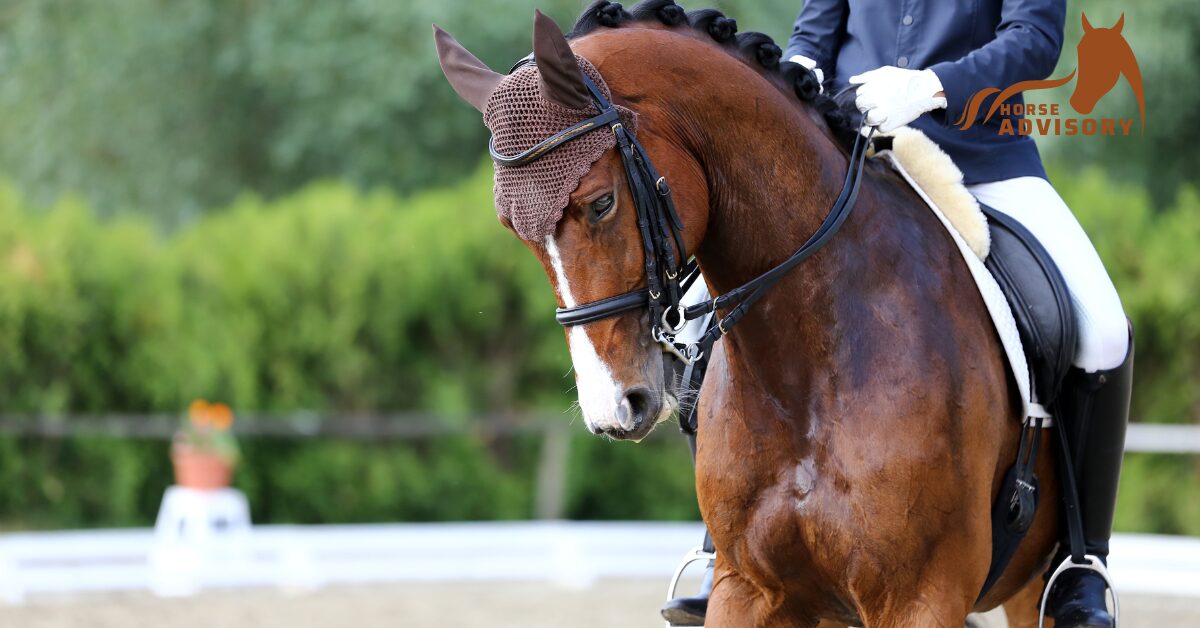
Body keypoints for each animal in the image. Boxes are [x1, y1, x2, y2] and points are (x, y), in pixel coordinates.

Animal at [436, 2, 1065, 624]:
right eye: (514, 230)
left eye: (601, 203)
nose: (614, 408)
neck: (809, 373)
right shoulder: (749, 589)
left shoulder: (922, 598)